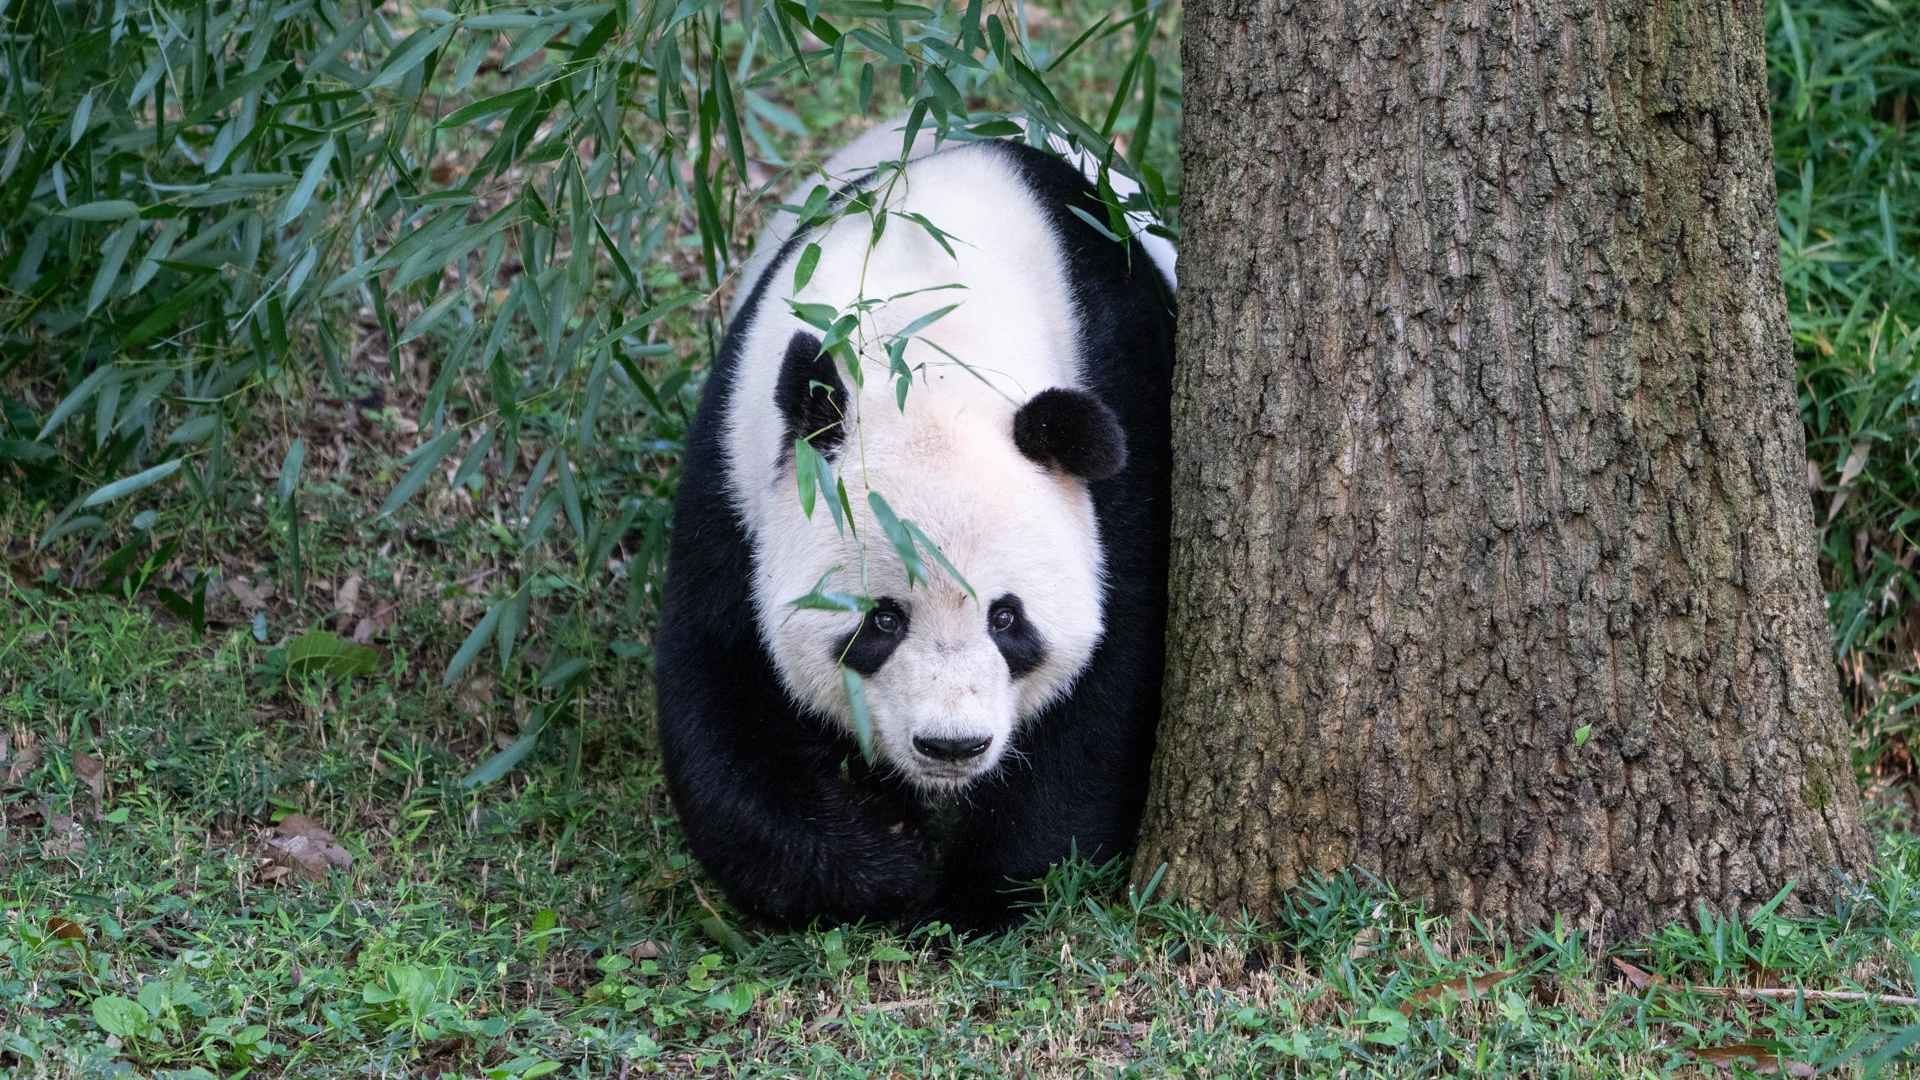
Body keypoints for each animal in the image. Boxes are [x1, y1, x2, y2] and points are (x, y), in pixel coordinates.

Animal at [652, 119, 1175, 926]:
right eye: (883, 620)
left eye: (1007, 618)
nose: (950, 747)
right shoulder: (739, 465)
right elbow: (724, 677)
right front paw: (887, 867)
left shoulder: (1127, 415)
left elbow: (1113, 675)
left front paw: (983, 887)